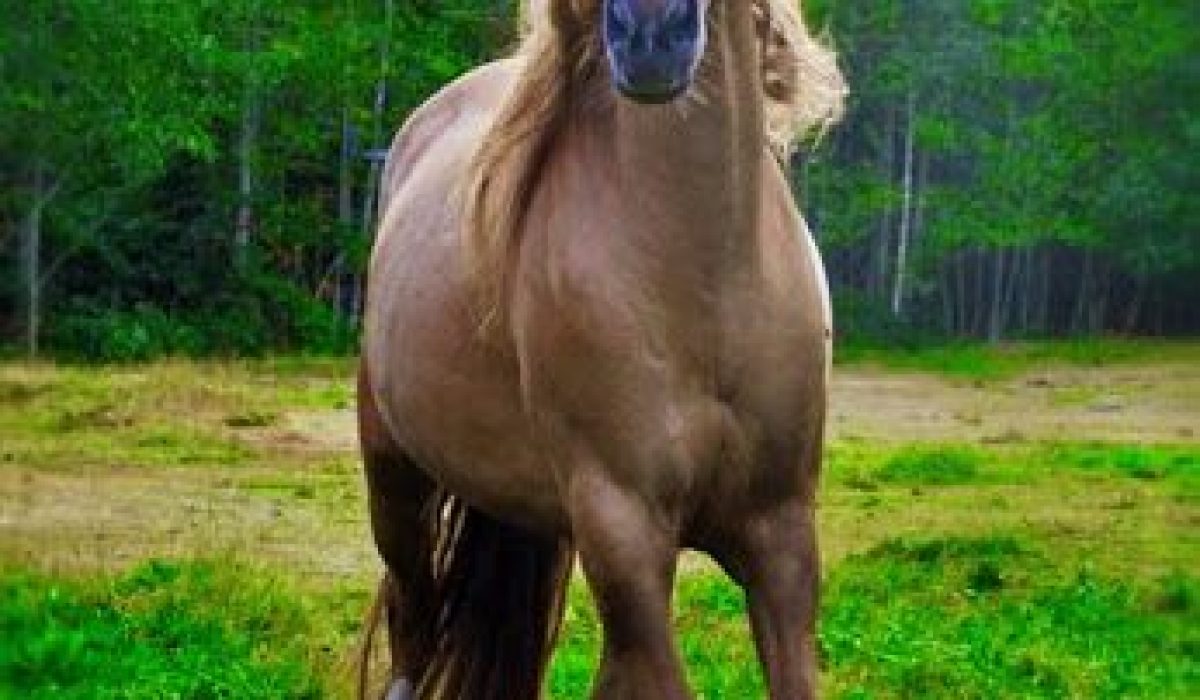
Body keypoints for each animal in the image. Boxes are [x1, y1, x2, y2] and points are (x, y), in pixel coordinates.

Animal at [357, 1, 845, 698]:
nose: (651, 36)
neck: (705, 278)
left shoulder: (781, 533)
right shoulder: (626, 534)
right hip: (395, 483)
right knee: (412, 631)